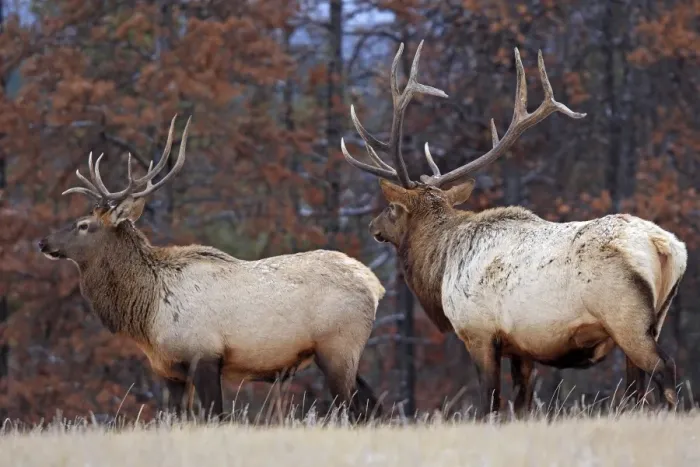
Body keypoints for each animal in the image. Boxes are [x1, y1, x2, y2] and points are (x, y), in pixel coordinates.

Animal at [38, 116, 385, 422]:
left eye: (83, 225)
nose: (43, 241)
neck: (147, 313)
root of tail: (374, 284)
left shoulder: (204, 355)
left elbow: (216, 416)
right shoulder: (169, 371)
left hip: (338, 346)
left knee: (353, 407)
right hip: (346, 353)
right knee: (373, 405)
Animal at [340, 41, 687, 418]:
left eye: (392, 208)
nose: (372, 226)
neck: (440, 267)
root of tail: (665, 245)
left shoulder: (478, 332)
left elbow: (489, 404)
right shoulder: (523, 347)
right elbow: (522, 406)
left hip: (625, 316)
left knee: (665, 368)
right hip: (657, 317)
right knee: (637, 387)